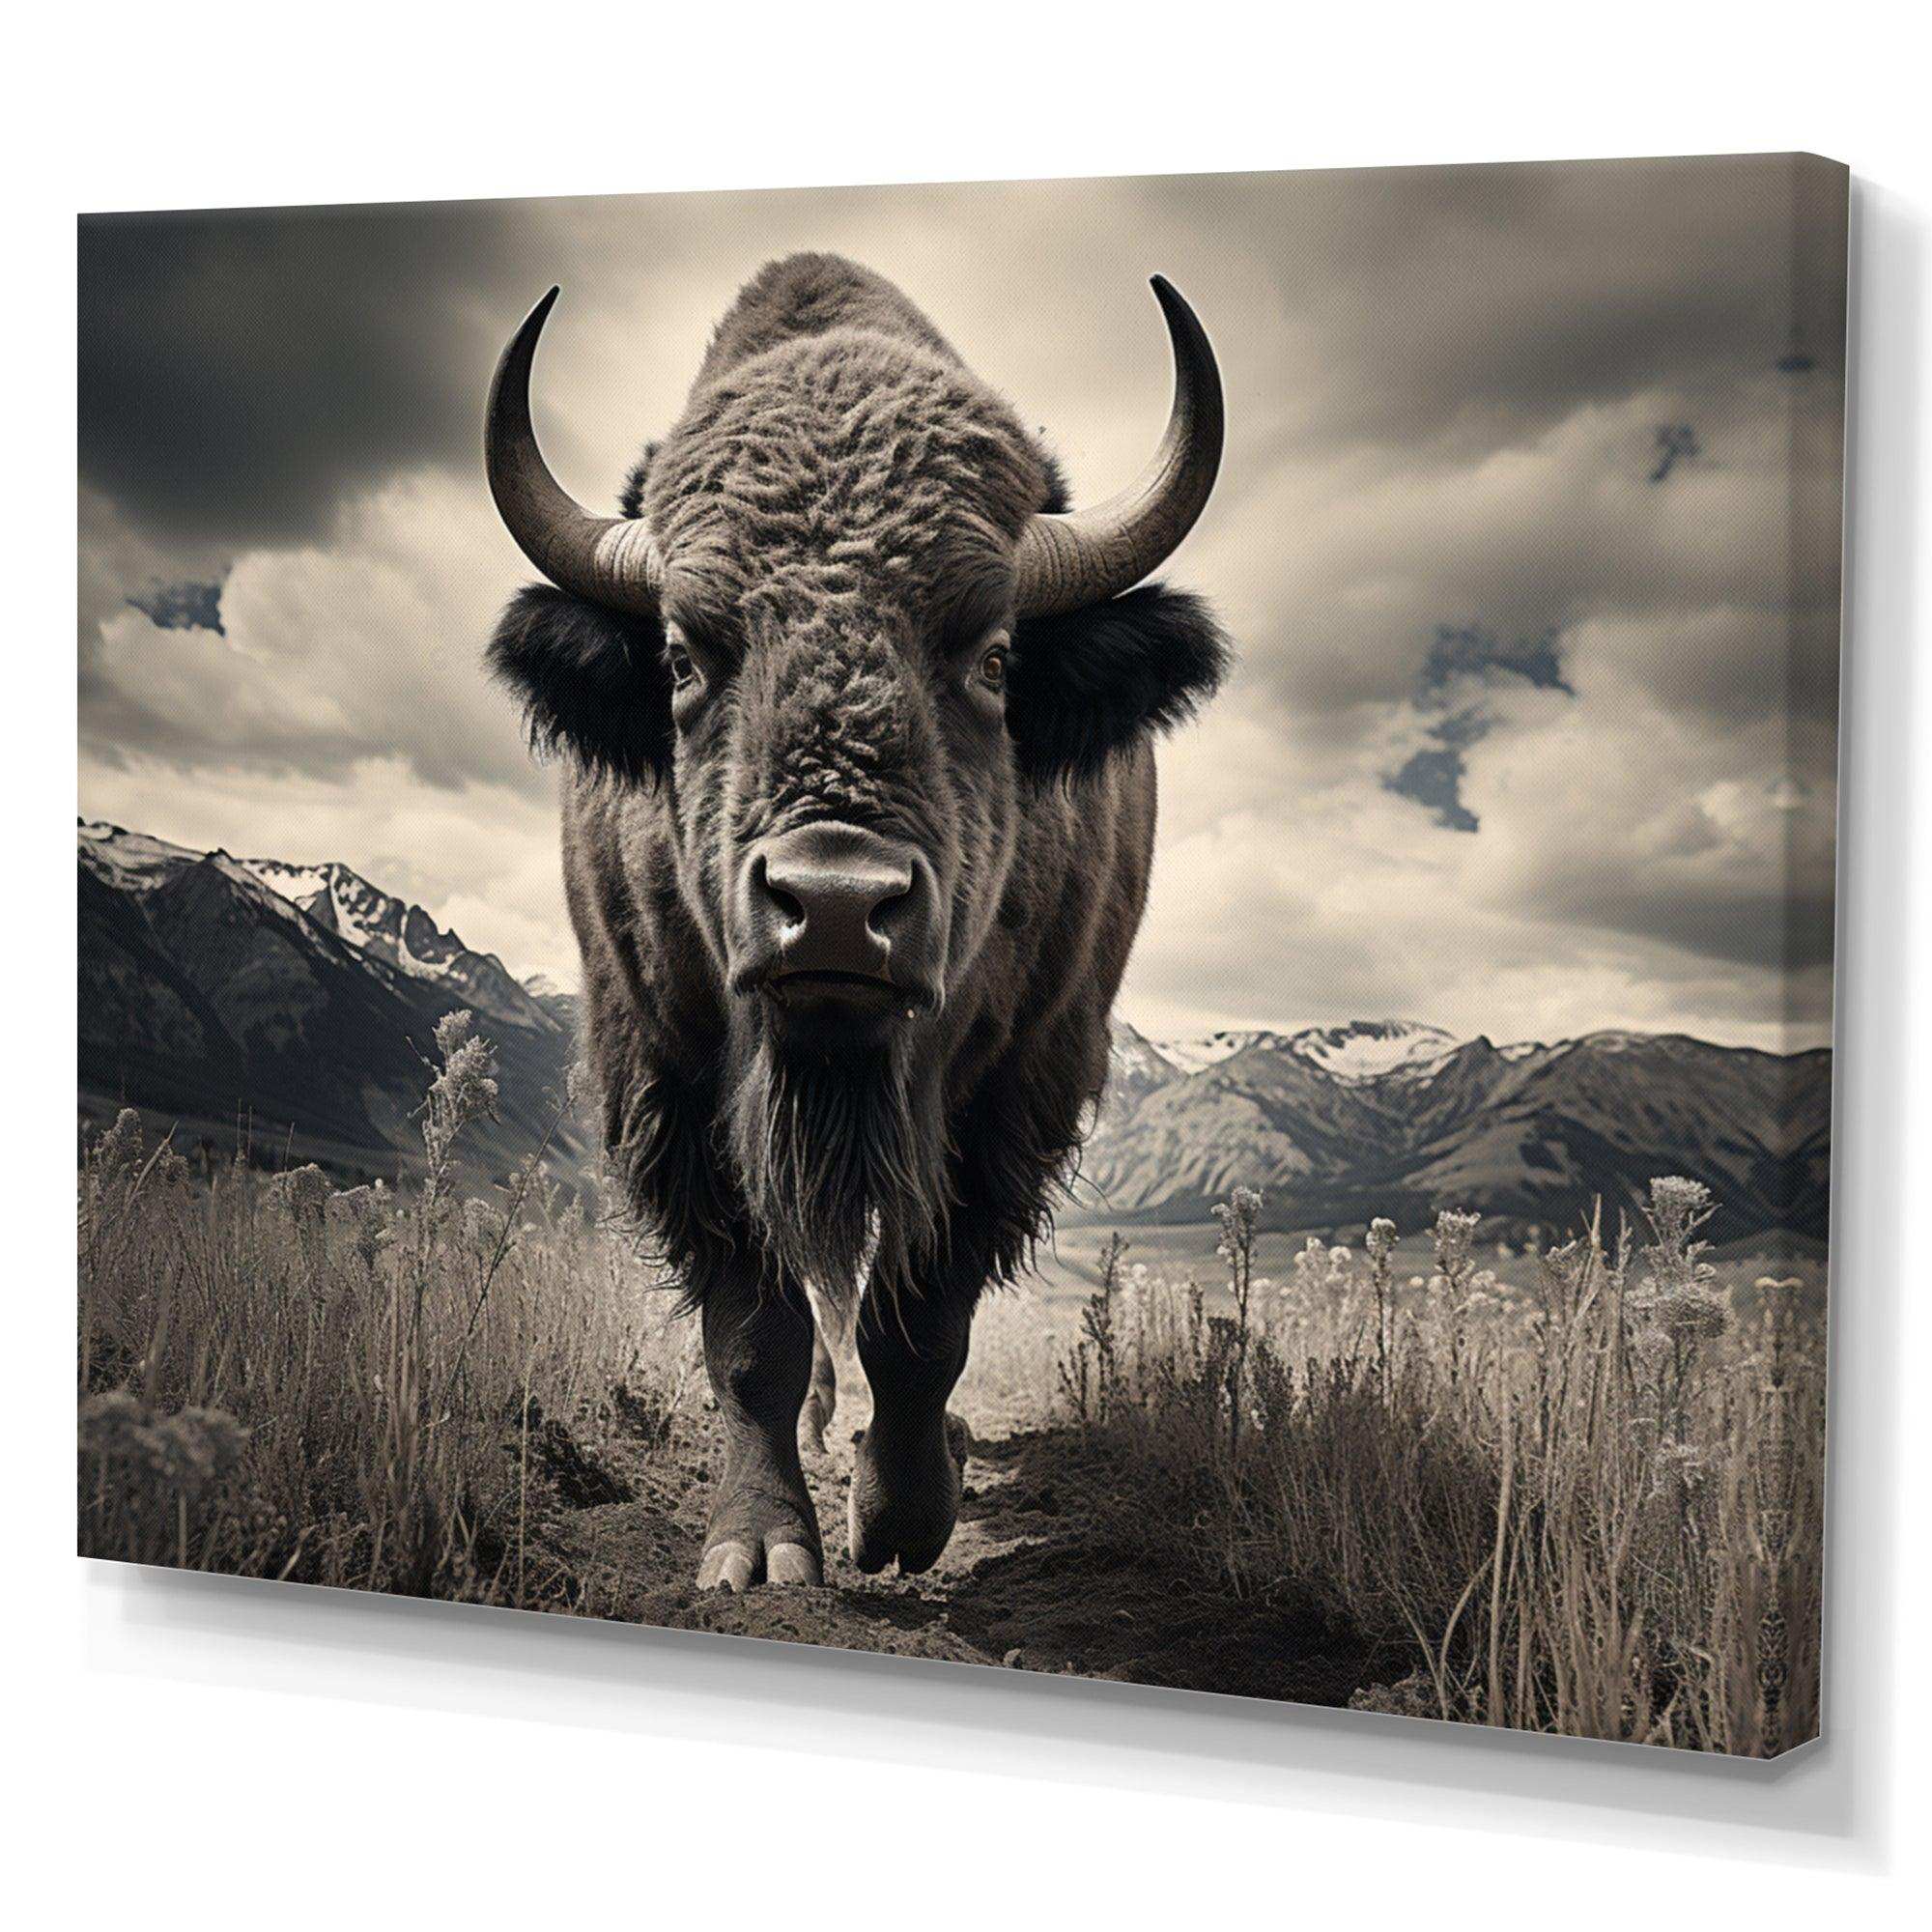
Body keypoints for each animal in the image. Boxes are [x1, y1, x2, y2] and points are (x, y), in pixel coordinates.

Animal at [485, 254, 1226, 1589]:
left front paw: (899, 1518)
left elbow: (920, 1321)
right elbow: (756, 1336)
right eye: (683, 655)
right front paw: (760, 1547)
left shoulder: (1010, 1094)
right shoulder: (675, 1081)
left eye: (993, 656)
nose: (832, 905)